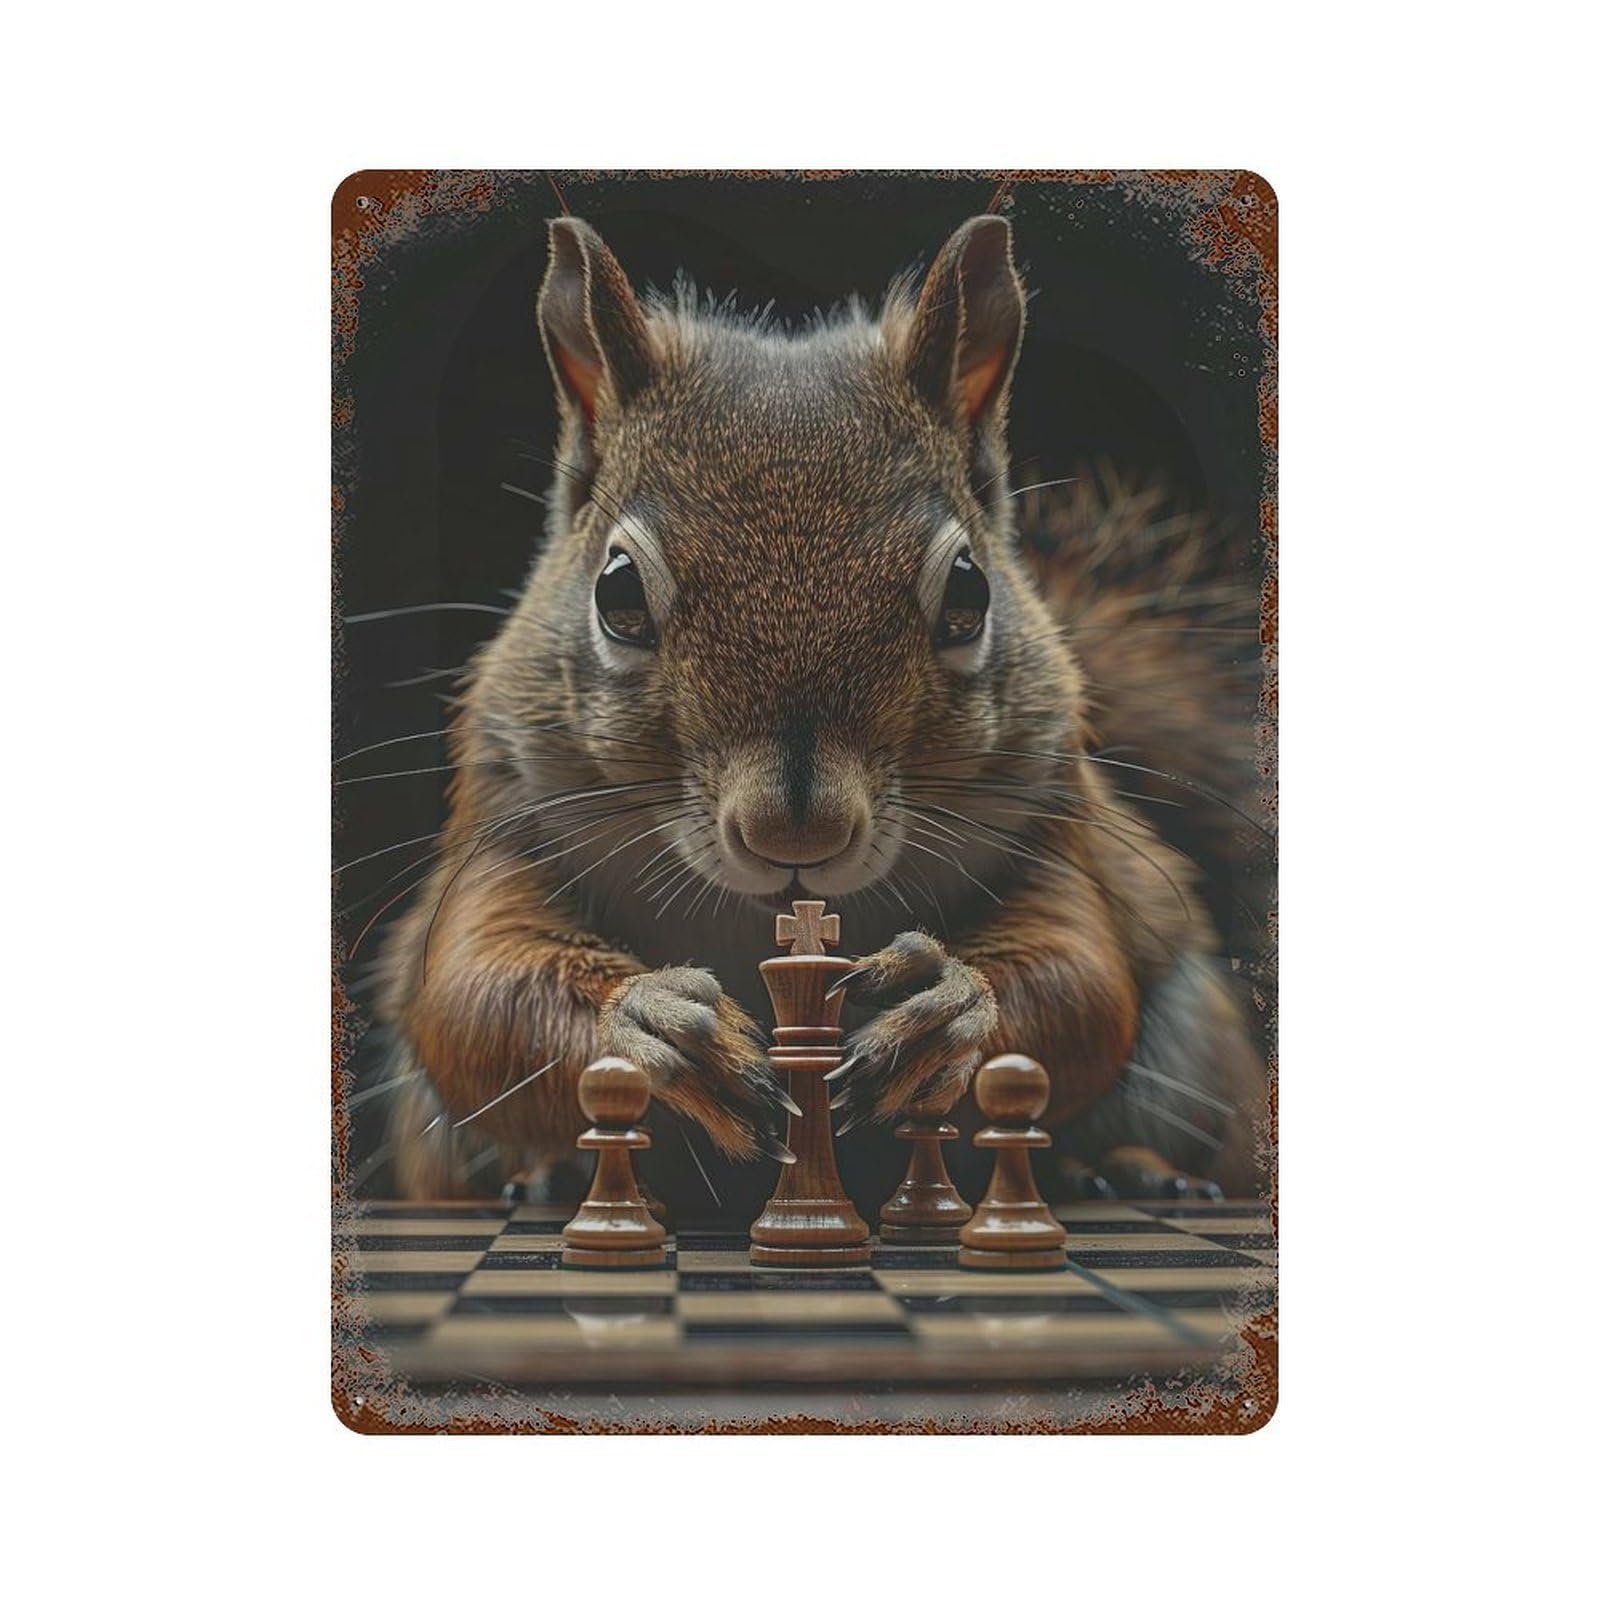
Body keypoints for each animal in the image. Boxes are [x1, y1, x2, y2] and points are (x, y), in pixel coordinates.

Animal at [371, 213, 1270, 1204]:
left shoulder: (1054, 831)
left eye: (970, 590)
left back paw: (1126, 1169)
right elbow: (475, 989)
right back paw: (551, 1178)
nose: (794, 835)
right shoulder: (504, 827)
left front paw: (946, 1008)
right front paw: (651, 1025)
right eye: (617, 592)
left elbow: (1080, 977)